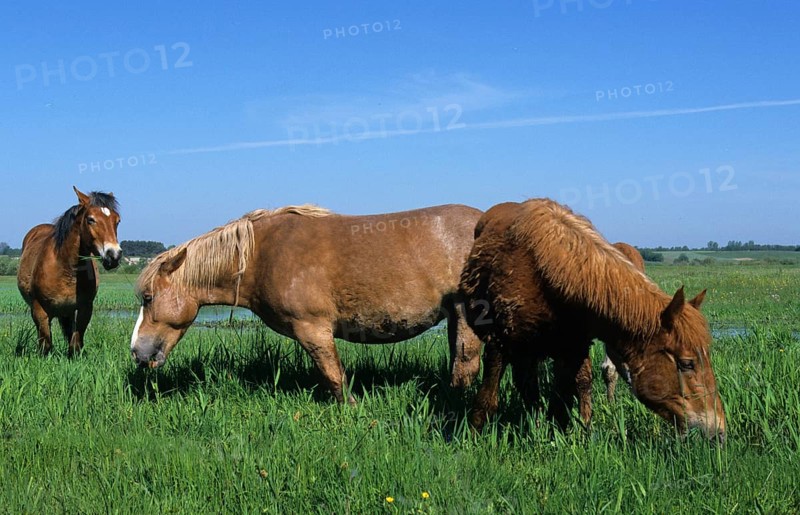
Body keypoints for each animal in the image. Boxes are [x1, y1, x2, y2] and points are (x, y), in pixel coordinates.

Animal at [17, 187, 122, 356]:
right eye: (90, 219)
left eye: (117, 220)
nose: (114, 255)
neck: (66, 269)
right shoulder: (39, 310)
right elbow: (46, 343)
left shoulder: (85, 308)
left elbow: (75, 342)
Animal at [131, 204, 484, 401]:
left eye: (148, 298)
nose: (137, 351)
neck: (262, 254)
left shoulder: (312, 329)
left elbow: (334, 378)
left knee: (465, 363)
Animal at [459, 199, 725, 441]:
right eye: (687, 363)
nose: (720, 432)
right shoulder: (498, 343)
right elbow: (487, 400)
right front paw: (472, 439)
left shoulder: (571, 349)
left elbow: (565, 401)